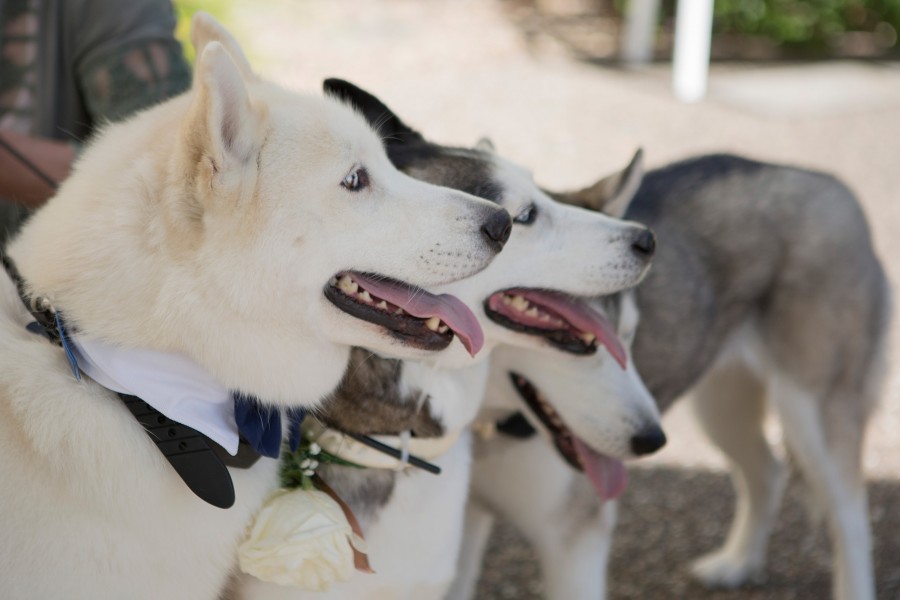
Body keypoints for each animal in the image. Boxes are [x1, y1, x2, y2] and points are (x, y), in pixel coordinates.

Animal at [460, 154, 888, 600]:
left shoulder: (576, 544)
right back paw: (737, 563)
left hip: (814, 415)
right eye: (569, 339)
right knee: (768, 472)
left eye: (628, 336)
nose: (650, 440)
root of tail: (825, 179)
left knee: (851, 514)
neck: (486, 427)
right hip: (720, 407)